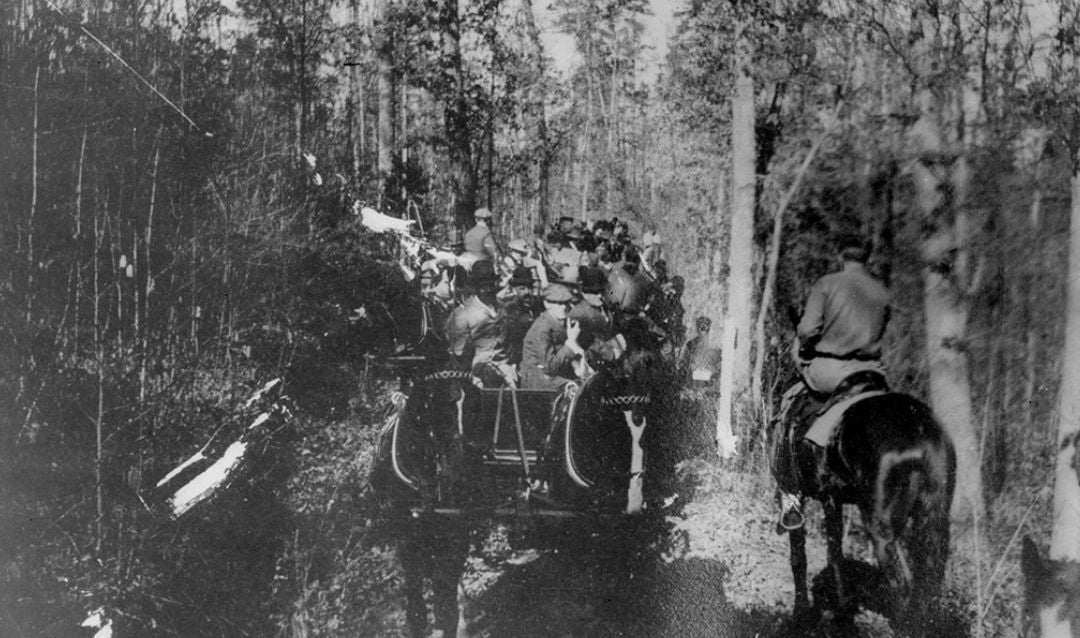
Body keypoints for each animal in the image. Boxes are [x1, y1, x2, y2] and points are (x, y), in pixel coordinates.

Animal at [773, 377, 959, 634]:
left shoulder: (800, 495)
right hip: (933, 519)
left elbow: (804, 558)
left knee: (903, 585)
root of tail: (923, 435)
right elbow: (832, 558)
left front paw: (803, 616)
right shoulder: (830, 499)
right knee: (927, 588)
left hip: (881, 528)